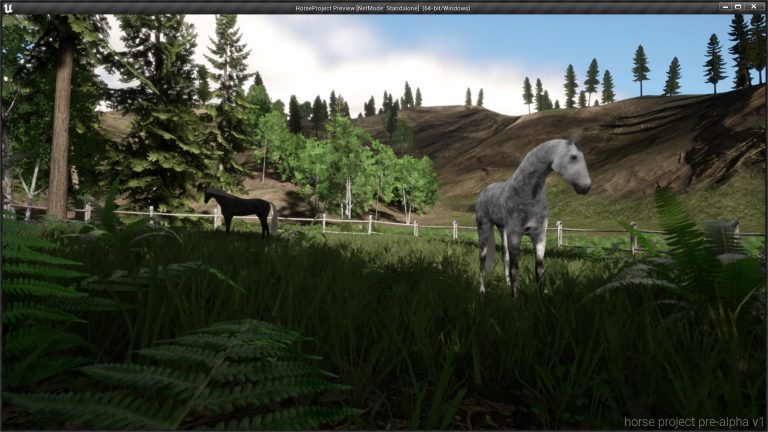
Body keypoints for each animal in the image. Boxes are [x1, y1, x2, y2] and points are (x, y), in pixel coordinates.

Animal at [475, 137, 591, 297]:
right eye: (573, 157)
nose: (586, 187)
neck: (528, 195)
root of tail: (484, 191)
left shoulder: (539, 236)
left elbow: (539, 269)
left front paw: (540, 297)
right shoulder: (515, 236)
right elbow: (515, 269)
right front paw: (515, 298)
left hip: (502, 230)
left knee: (504, 256)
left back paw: (505, 285)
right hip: (484, 230)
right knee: (482, 259)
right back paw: (482, 290)